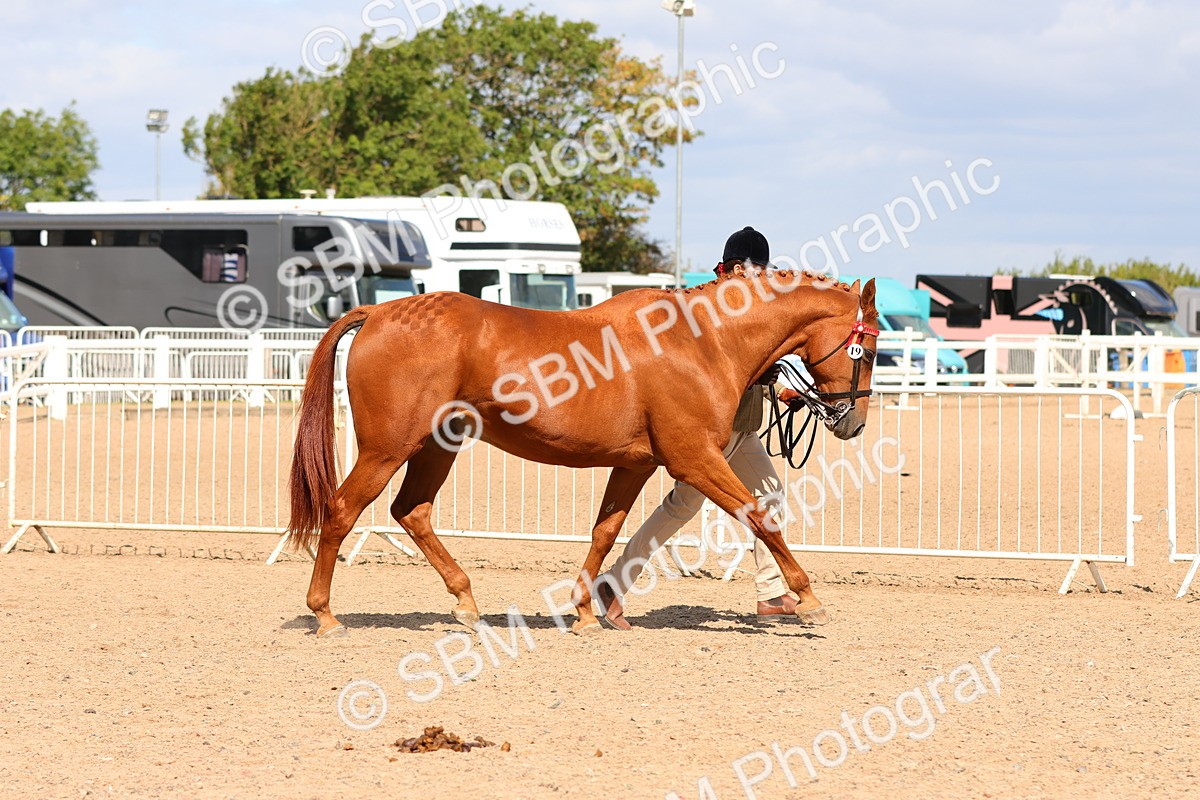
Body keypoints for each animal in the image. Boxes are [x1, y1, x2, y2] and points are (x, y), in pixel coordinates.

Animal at [287, 270, 879, 636]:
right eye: (868, 349)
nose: (853, 423)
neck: (701, 341)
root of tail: (377, 313)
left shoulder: (635, 464)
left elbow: (606, 532)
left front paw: (587, 612)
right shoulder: (694, 461)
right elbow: (760, 517)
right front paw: (809, 599)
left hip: (437, 446)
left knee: (411, 511)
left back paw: (466, 603)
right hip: (386, 449)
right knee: (342, 510)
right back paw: (325, 615)